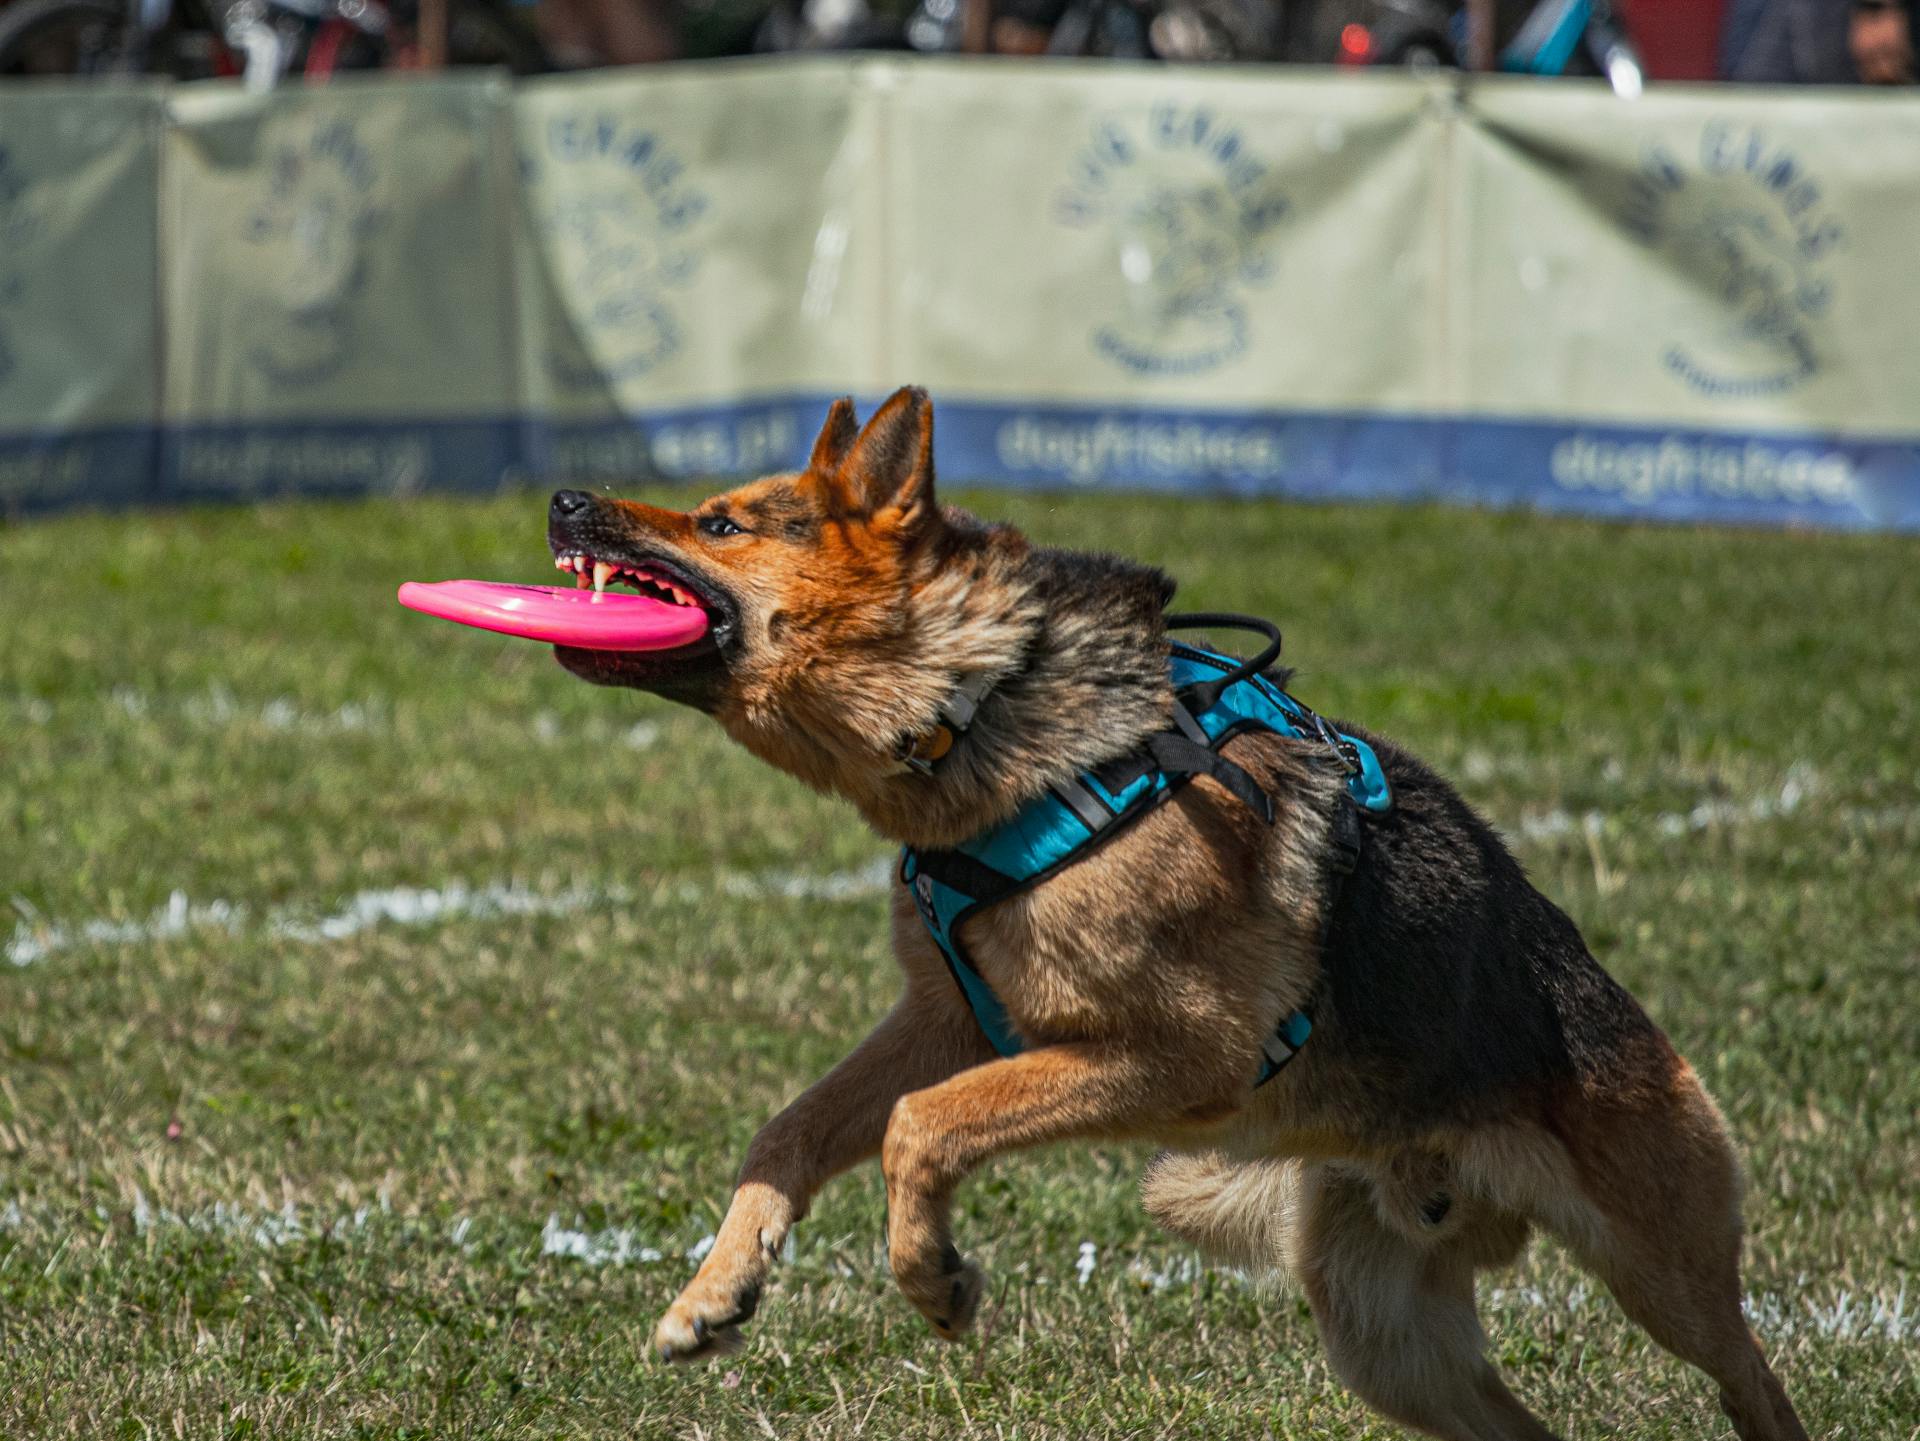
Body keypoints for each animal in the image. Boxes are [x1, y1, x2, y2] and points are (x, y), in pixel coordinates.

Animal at [549, 385, 1804, 1441]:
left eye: (721, 523)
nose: (562, 496)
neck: (980, 702)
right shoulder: (947, 1017)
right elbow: (793, 1128)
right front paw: (717, 1289)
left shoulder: (1181, 1053)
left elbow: (922, 1122)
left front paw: (935, 1278)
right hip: (1385, 1340)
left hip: (1662, 1262)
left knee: (1748, 1368)